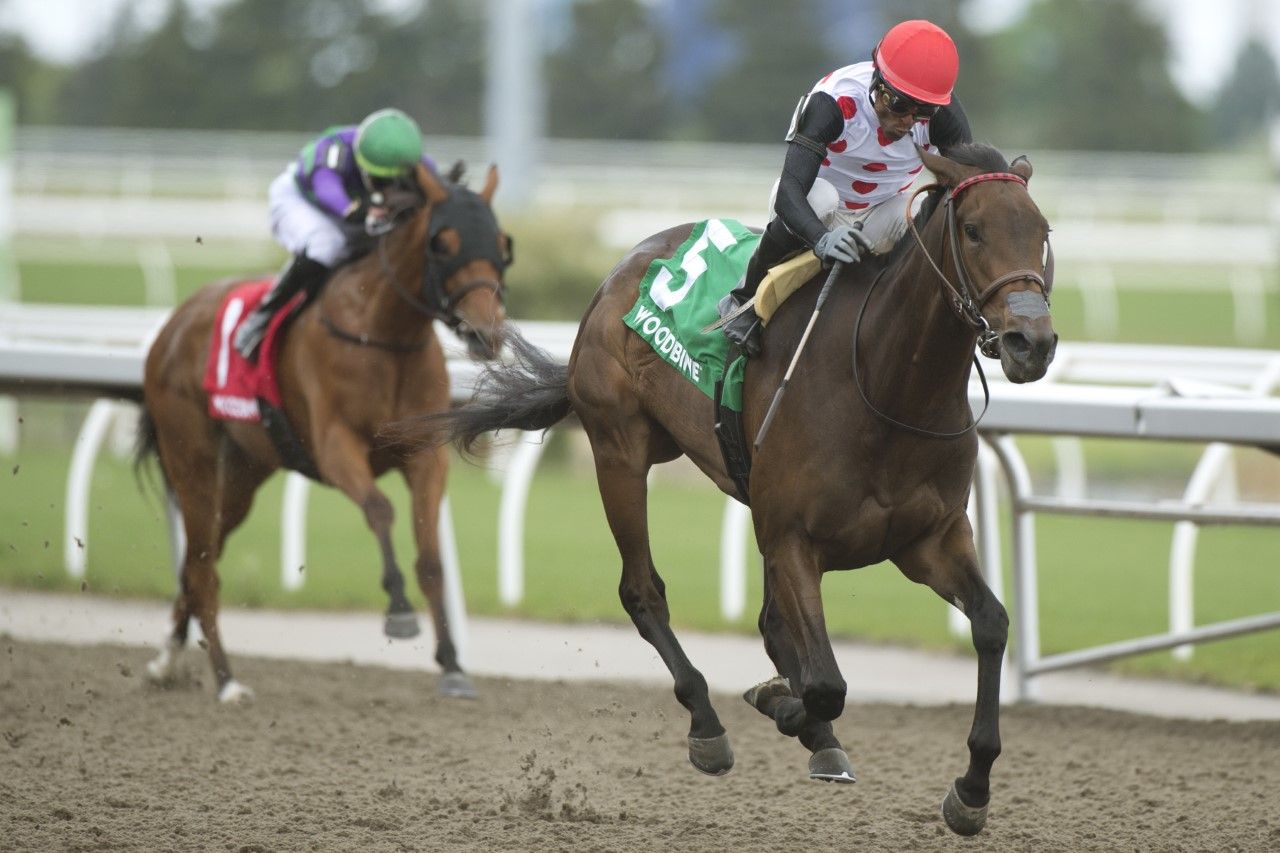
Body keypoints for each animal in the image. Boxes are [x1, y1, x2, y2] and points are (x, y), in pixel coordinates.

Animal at [132, 162, 506, 701]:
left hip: (243, 473)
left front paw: (453, 666)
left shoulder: (424, 453)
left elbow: (431, 556)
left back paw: (167, 659)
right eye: (443, 242)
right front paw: (398, 613)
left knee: (199, 560)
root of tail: (173, 324)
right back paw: (226, 680)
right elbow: (379, 509)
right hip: (192, 458)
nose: (485, 332)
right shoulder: (336, 447)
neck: (383, 333)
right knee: (202, 567)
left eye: (501, 241)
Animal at [404, 144, 1054, 829]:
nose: (1031, 343)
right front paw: (781, 704)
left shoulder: (928, 540)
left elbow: (991, 624)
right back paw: (709, 724)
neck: (887, 386)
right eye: (974, 230)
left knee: (770, 623)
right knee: (643, 591)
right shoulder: (794, 538)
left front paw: (972, 788)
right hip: (619, 448)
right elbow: (826, 684)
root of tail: (618, 273)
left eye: (1042, 232)